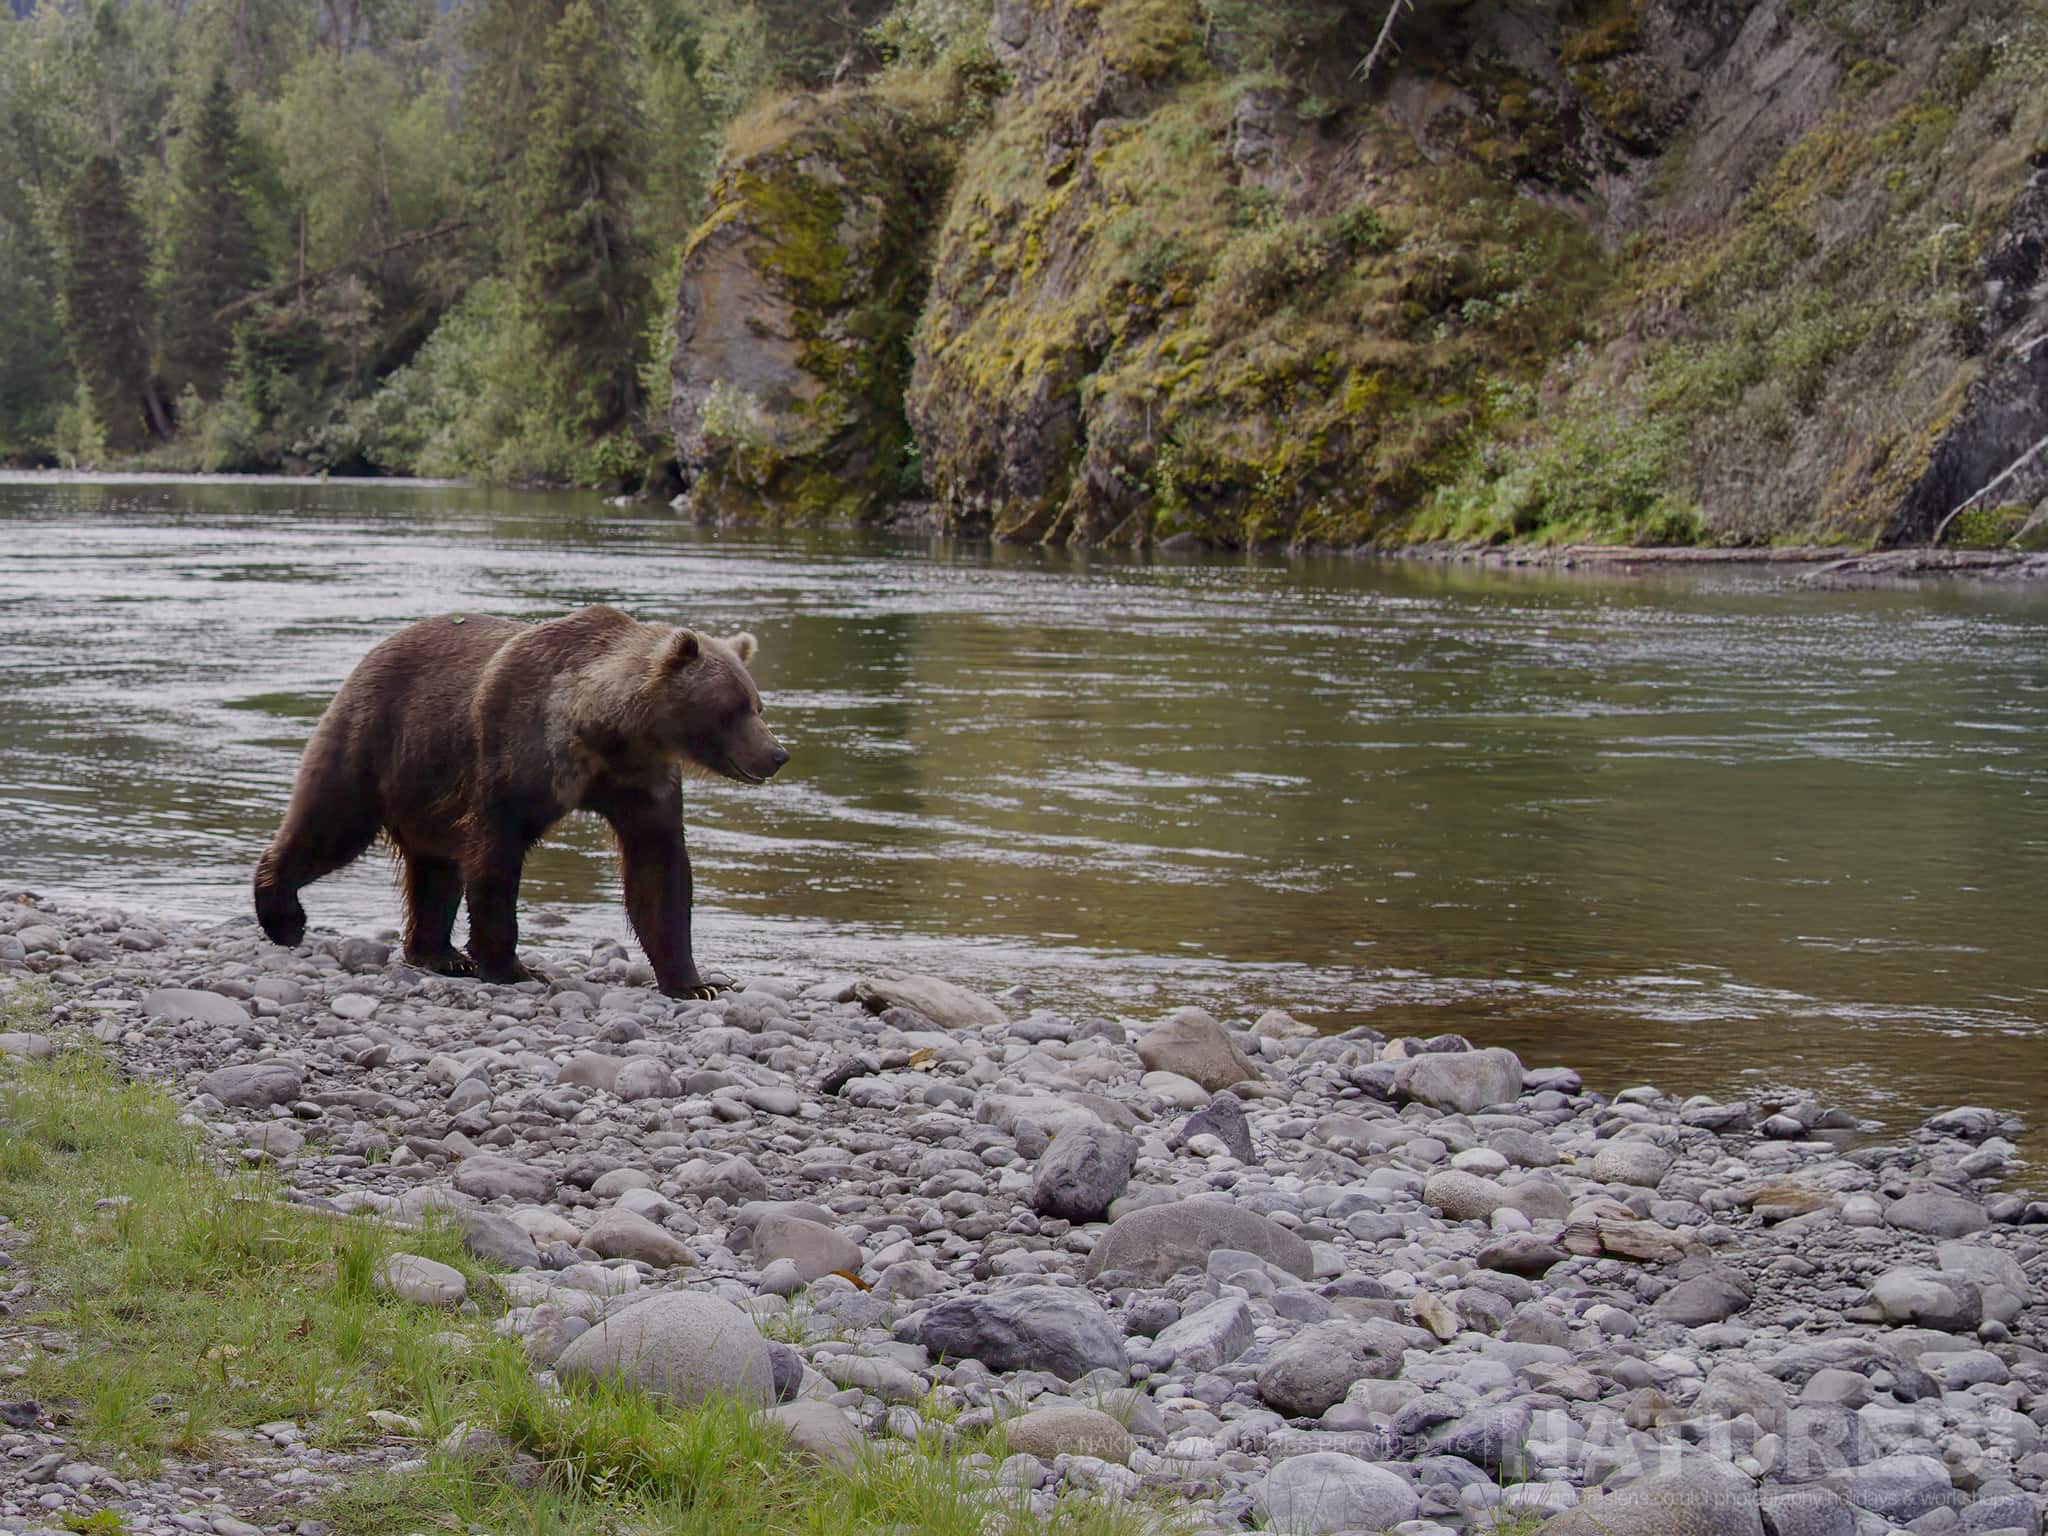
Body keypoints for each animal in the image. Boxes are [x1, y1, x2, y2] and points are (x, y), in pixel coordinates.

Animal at [252, 604, 787, 998]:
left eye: (757, 704)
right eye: (732, 709)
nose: (777, 754)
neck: (605, 731)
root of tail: (371, 654)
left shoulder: (642, 781)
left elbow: (659, 870)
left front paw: (696, 983)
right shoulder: (519, 752)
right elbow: (495, 856)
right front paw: (512, 966)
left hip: (426, 783)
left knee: (435, 867)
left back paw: (438, 954)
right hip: (376, 737)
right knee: (331, 825)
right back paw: (283, 916)